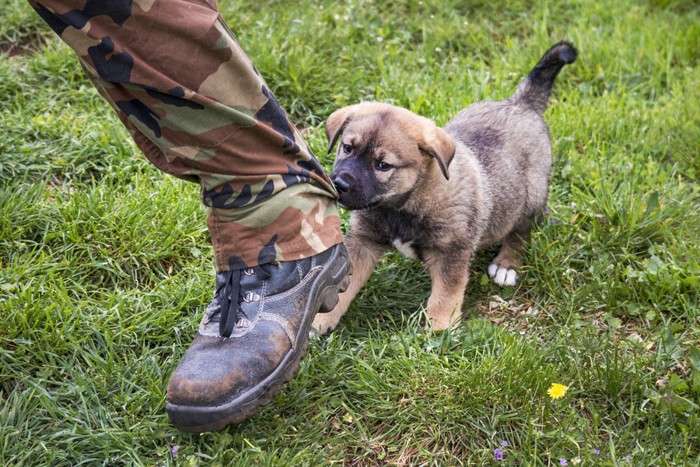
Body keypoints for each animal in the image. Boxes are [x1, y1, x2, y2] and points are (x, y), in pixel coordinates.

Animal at [314, 40, 576, 332]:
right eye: (347, 148)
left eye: (383, 165)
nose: (339, 183)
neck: (404, 204)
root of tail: (520, 103)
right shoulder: (363, 241)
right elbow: (342, 285)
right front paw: (322, 319)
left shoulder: (452, 253)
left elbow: (446, 294)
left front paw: (440, 328)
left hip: (531, 197)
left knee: (520, 233)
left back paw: (506, 264)